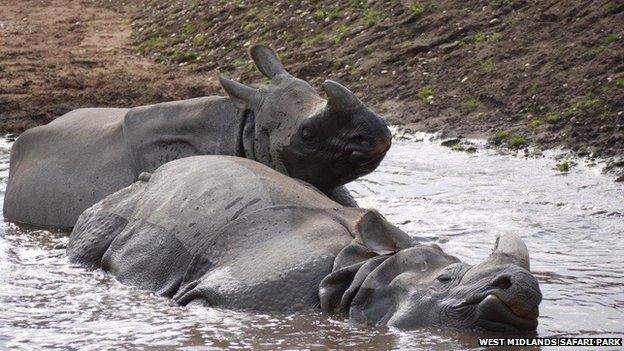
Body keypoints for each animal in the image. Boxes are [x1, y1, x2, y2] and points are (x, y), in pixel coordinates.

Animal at [68, 157, 540, 332]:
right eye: (444, 280)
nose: (525, 288)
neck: (363, 269)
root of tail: (153, 173)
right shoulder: (239, 293)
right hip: (130, 198)